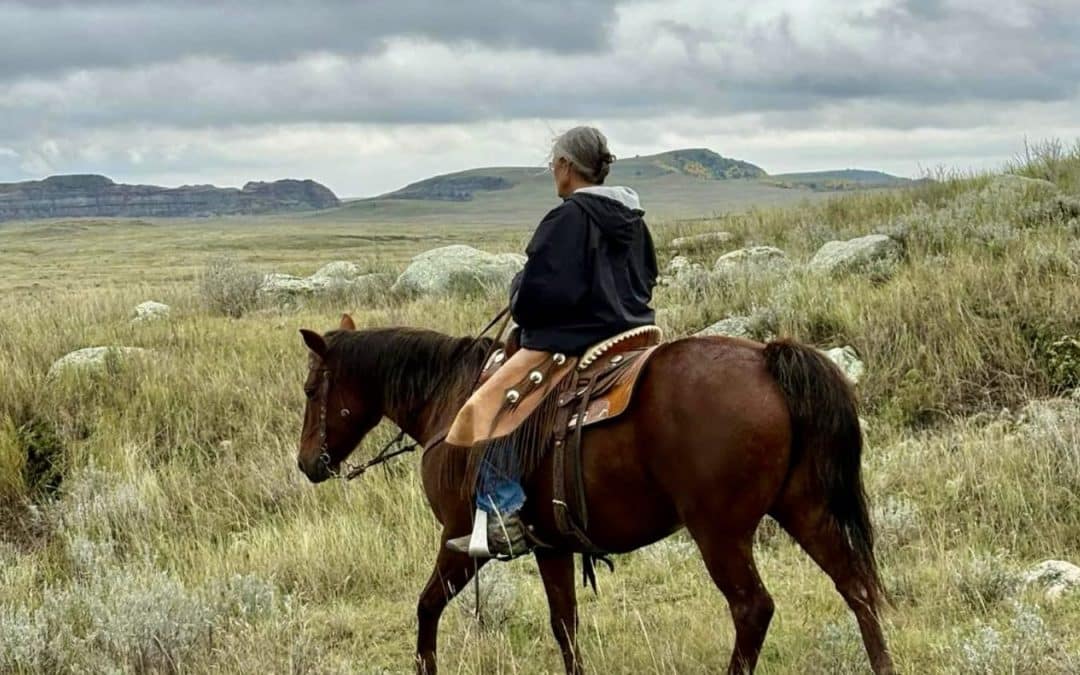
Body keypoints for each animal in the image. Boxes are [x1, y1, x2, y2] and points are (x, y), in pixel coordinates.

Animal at [293, 315, 894, 673]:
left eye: (310, 388)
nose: (307, 464)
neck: (452, 401)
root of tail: (769, 358)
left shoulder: (459, 540)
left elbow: (426, 607)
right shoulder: (552, 546)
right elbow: (565, 624)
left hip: (720, 533)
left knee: (753, 608)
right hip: (804, 508)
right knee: (857, 587)